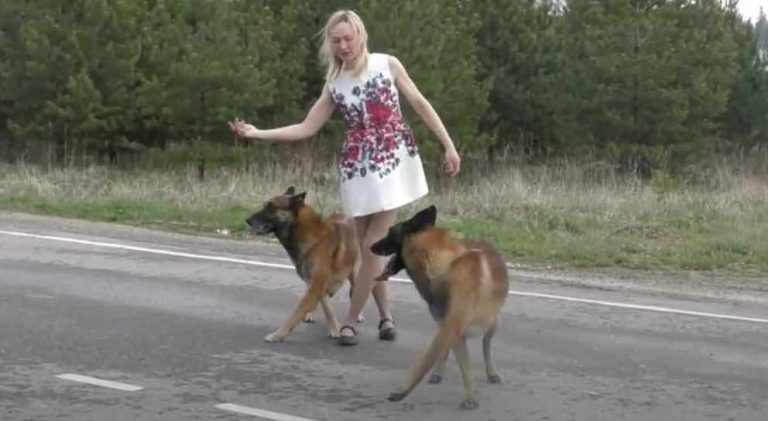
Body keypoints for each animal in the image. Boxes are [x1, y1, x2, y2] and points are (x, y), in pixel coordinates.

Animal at [249, 186, 364, 342]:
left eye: (270, 207)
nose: (247, 220)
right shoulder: (315, 284)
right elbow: (326, 307)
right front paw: (334, 328)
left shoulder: (317, 285)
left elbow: (295, 315)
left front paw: (277, 334)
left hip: (355, 274)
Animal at [368, 205, 508, 408]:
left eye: (390, 232)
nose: (369, 246)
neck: (446, 265)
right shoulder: (451, 328)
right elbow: (451, 360)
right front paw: (470, 396)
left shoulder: (453, 326)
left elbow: (428, 359)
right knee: (446, 350)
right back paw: (438, 373)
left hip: (493, 322)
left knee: (486, 345)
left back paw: (491, 372)